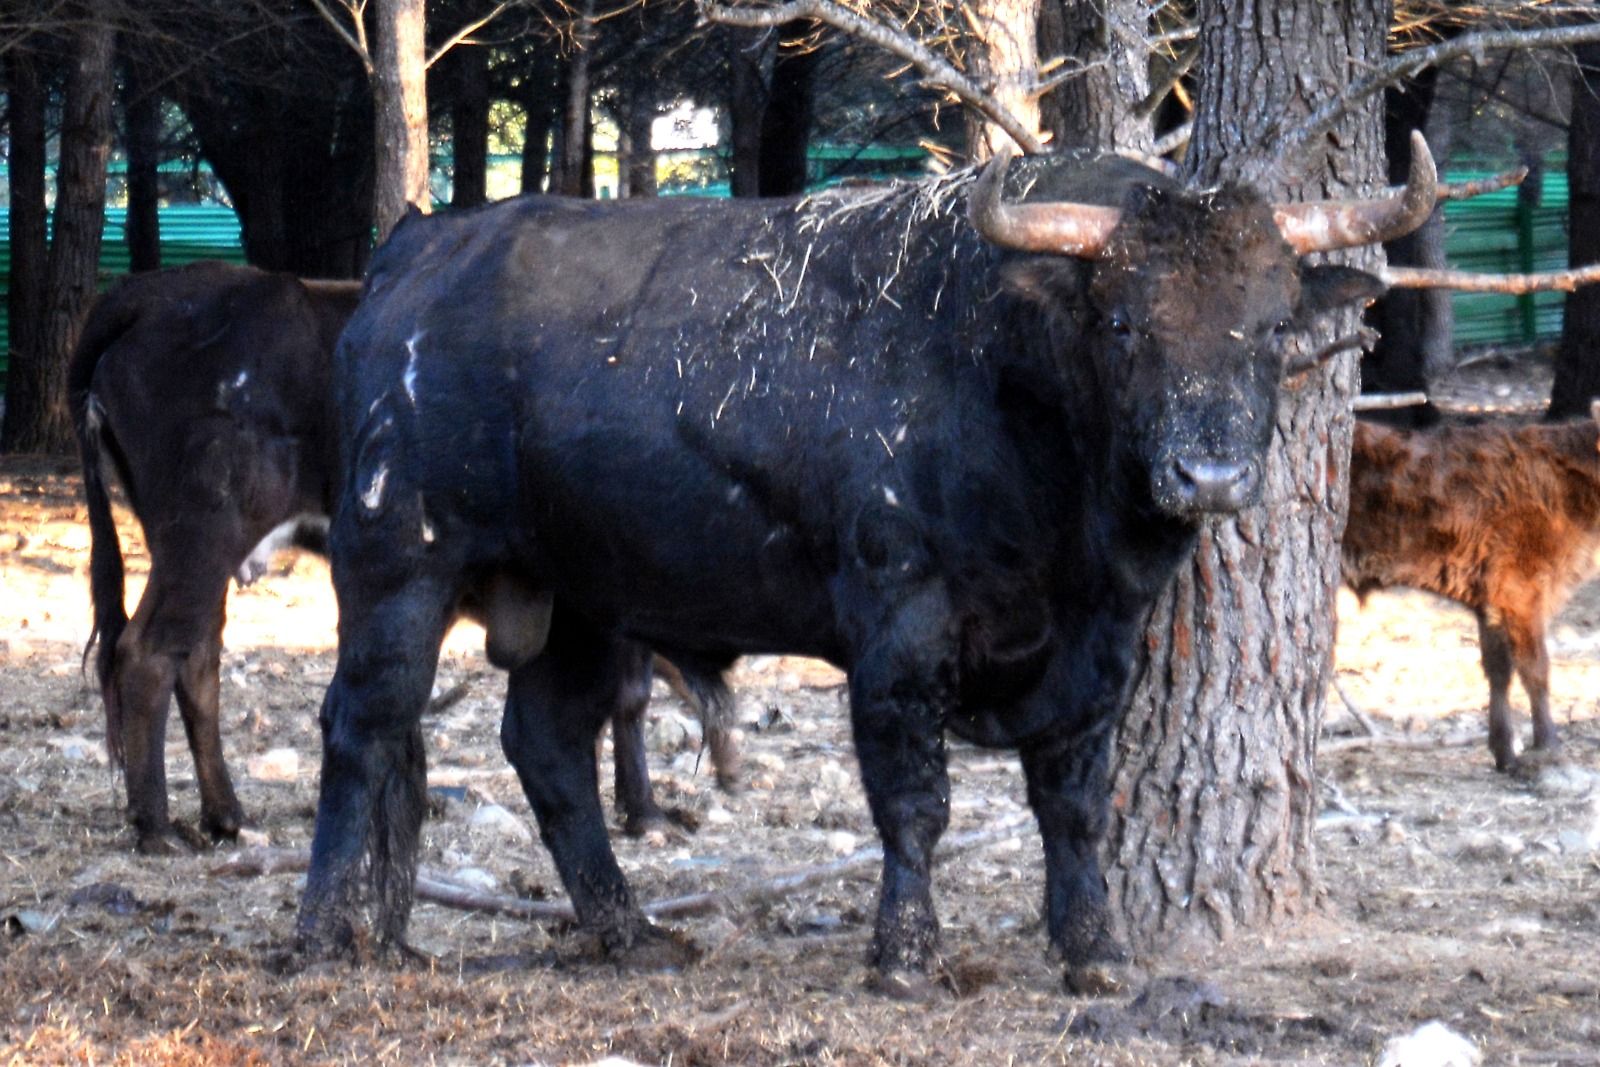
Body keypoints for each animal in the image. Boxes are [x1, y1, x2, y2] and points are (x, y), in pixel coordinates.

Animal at [68, 262, 732, 857]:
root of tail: (151, 293)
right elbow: (630, 695)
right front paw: (645, 811)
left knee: (198, 657)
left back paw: (225, 814)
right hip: (202, 536)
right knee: (149, 654)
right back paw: (156, 825)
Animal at [300, 139, 1440, 985]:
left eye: (1272, 324)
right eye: (1123, 322)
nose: (1207, 473)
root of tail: (414, 250)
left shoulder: (1100, 647)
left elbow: (1074, 798)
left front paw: (1095, 948)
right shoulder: (900, 631)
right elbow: (913, 798)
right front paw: (905, 954)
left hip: (580, 595)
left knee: (545, 745)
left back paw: (630, 928)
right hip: (397, 565)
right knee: (364, 723)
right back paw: (327, 931)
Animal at [1344, 406, 1600, 767]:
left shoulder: (1491, 600)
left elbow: (1498, 669)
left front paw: (1505, 753)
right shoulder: (1523, 589)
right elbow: (1536, 668)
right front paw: (1548, 744)